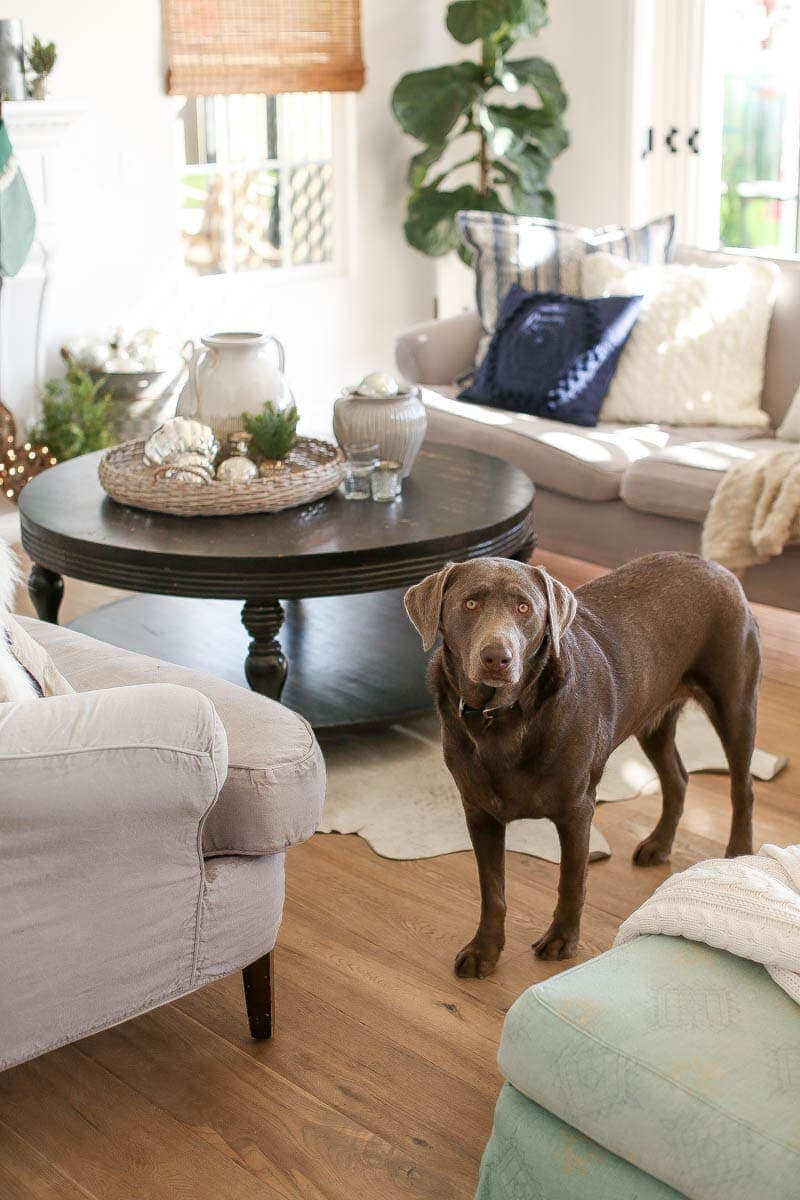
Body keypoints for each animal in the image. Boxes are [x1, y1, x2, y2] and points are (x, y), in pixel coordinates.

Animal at [402, 552, 762, 974]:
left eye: (524, 608)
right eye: (470, 603)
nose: (497, 658)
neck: (502, 720)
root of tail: (715, 566)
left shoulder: (577, 811)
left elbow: (572, 880)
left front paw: (562, 940)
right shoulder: (479, 813)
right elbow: (492, 890)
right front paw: (484, 951)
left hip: (734, 705)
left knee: (743, 787)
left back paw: (738, 854)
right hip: (653, 721)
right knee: (678, 779)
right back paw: (658, 844)